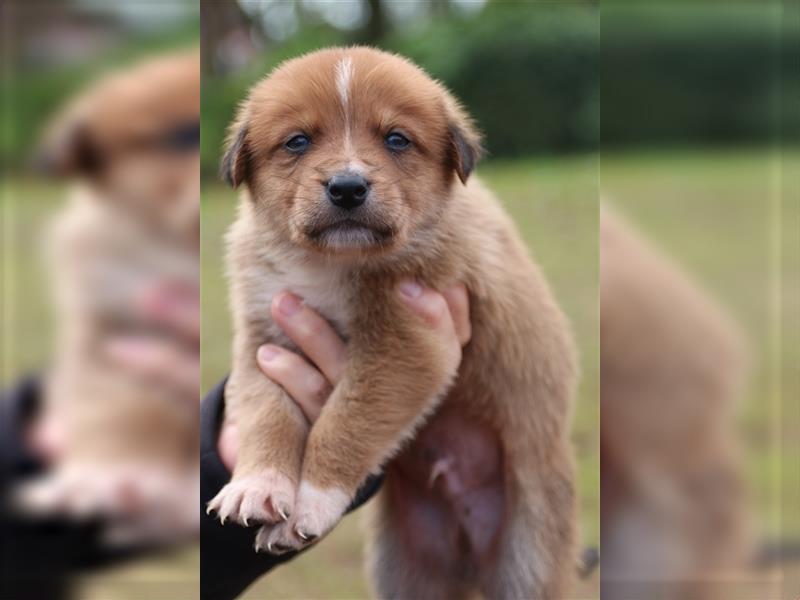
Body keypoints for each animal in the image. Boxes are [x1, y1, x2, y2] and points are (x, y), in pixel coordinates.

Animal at [209, 48, 580, 600]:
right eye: (297, 141)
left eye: (396, 139)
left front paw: (312, 502)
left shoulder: (406, 347)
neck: (328, 264)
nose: (347, 187)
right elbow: (265, 415)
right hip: (407, 573)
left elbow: (344, 424)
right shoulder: (262, 342)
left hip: (528, 561)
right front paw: (256, 485)